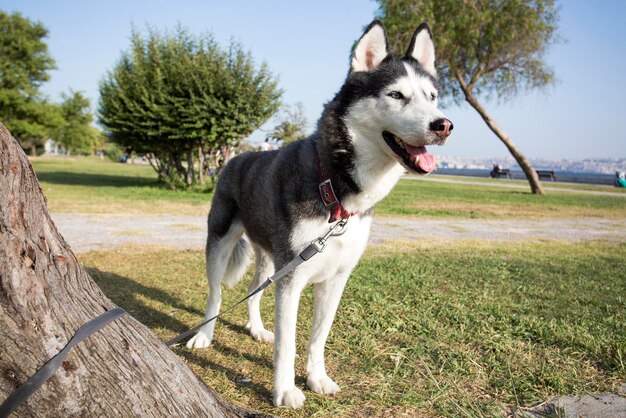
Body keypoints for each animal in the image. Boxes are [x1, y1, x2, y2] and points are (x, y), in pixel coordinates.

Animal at [185, 20, 454, 408]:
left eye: (432, 97)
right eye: (396, 95)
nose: (443, 125)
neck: (335, 187)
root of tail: (237, 156)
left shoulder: (335, 278)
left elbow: (318, 337)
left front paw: (317, 378)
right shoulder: (292, 280)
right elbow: (288, 344)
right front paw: (284, 391)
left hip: (270, 257)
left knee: (254, 288)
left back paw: (256, 329)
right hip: (220, 244)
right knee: (216, 294)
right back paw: (204, 335)